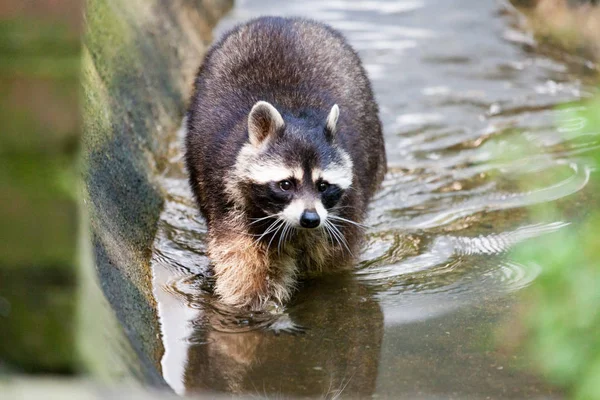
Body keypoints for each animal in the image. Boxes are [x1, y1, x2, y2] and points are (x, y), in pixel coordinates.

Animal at [185, 15, 386, 310]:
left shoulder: (347, 205)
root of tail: (284, 19)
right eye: (286, 184)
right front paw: (252, 302)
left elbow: (333, 261)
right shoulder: (227, 193)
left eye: (323, 185)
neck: (297, 116)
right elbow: (242, 260)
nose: (310, 219)